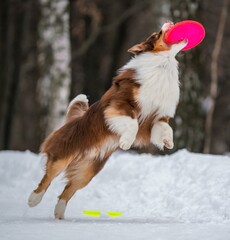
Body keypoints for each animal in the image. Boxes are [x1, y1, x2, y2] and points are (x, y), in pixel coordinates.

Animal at [27, 21, 188, 218]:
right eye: (157, 33)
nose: (169, 22)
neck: (162, 65)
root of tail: (70, 122)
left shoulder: (158, 117)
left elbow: (166, 129)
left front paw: (168, 142)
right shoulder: (119, 105)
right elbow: (132, 124)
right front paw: (126, 142)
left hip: (88, 172)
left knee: (68, 190)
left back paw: (59, 214)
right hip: (62, 157)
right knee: (48, 178)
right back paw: (33, 200)